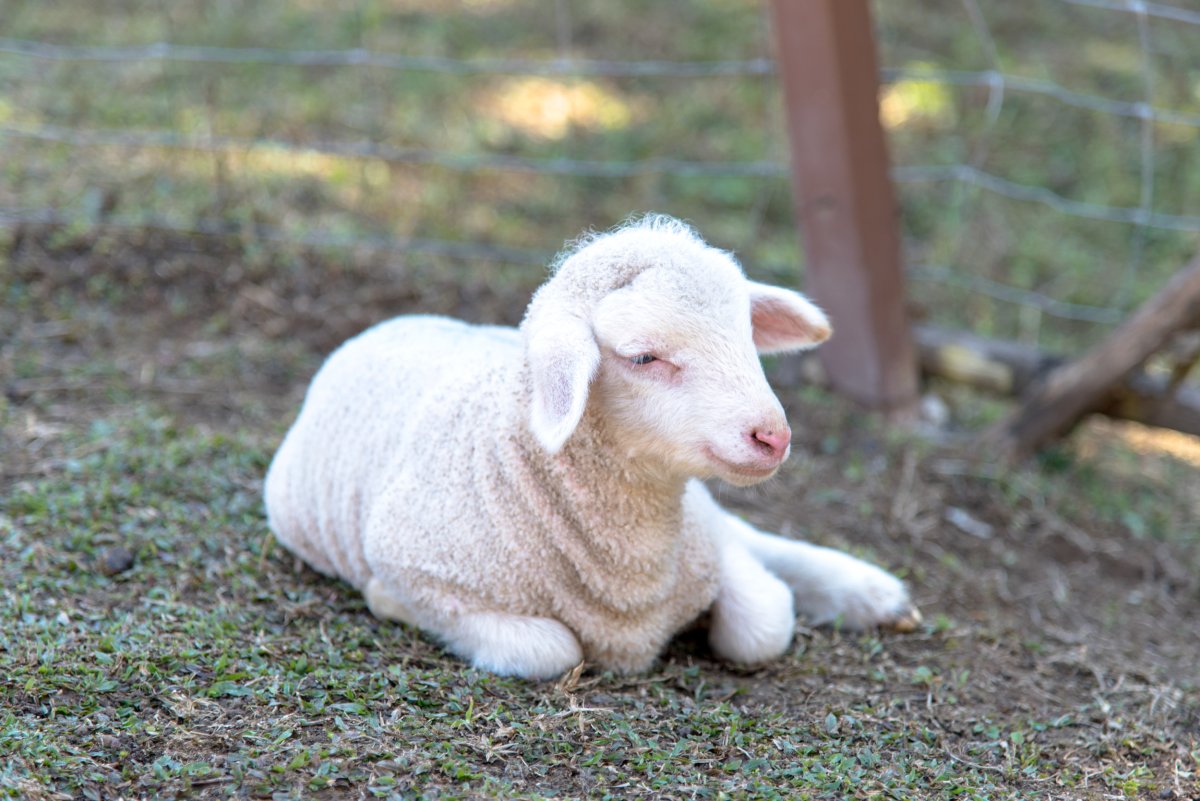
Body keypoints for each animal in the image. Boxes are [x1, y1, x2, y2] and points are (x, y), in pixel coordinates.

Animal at [262, 215, 916, 681]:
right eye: (643, 356)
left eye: (748, 334)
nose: (772, 436)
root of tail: (397, 321)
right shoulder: (416, 567)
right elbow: (553, 649)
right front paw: (384, 601)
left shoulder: (705, 544)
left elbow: (761, 624)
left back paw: (875, 594)